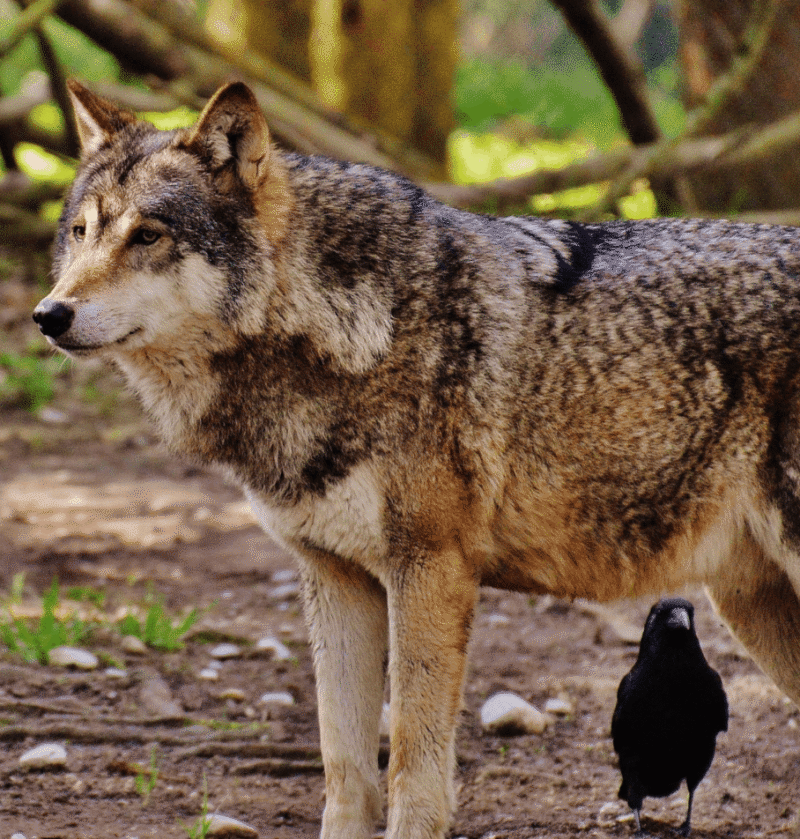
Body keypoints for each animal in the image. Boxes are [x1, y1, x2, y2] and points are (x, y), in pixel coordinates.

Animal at [34, 81, 800, 839]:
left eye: (148, 235)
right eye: (81, 233)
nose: (48, 315)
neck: (344, 327)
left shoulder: (430, 572)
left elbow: (409, 755)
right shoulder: (335, 579)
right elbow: (345, 764)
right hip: (752, 607)